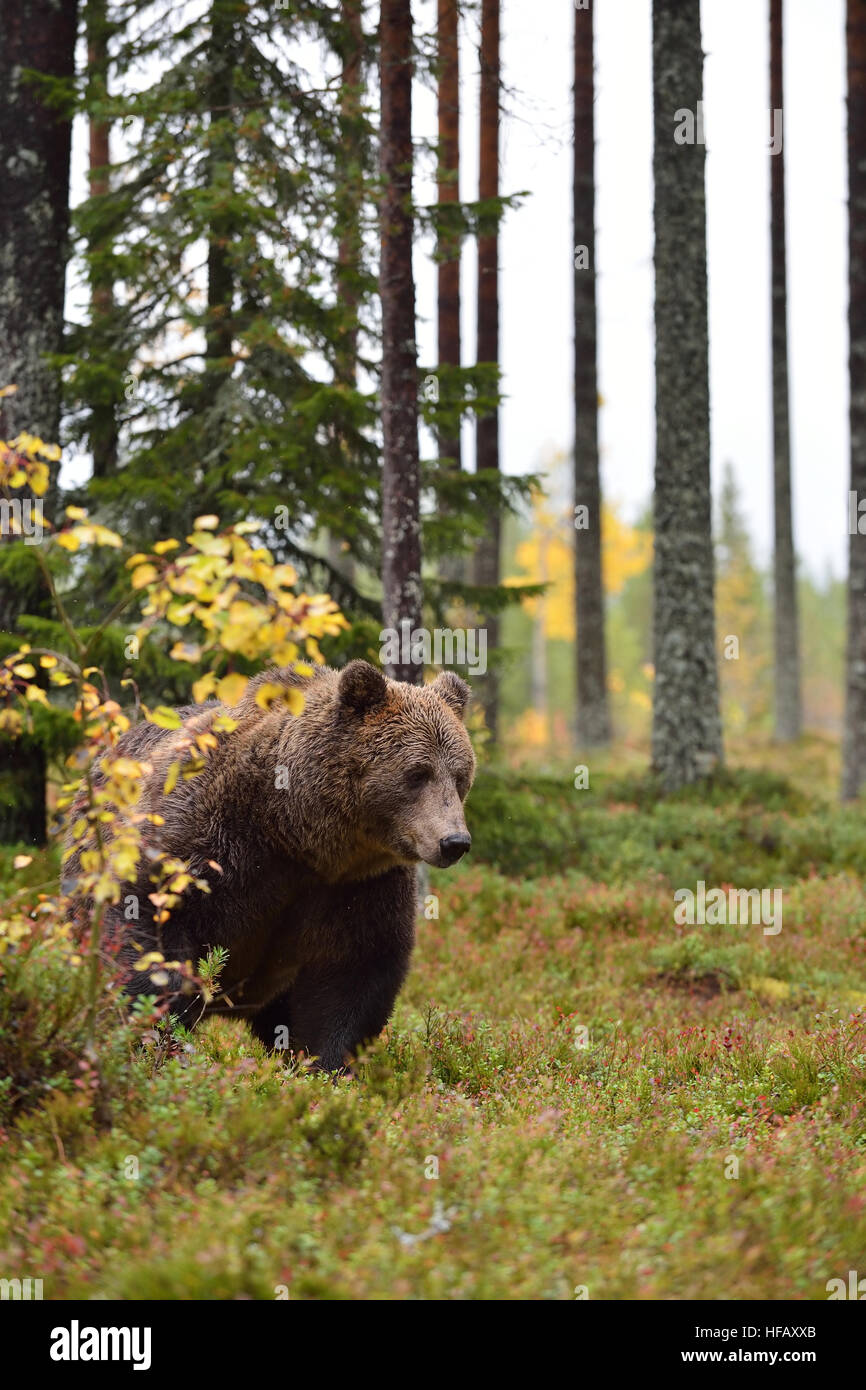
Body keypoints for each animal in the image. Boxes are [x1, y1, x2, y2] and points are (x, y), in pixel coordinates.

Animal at [64, 661, 475, 1072]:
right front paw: (156, 1038)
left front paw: (325, 1064)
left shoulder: (360, 885)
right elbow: (150, 922)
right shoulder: (205, 838)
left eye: (459, 776)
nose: (454, 842)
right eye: (418, 773)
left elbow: (353, 972)